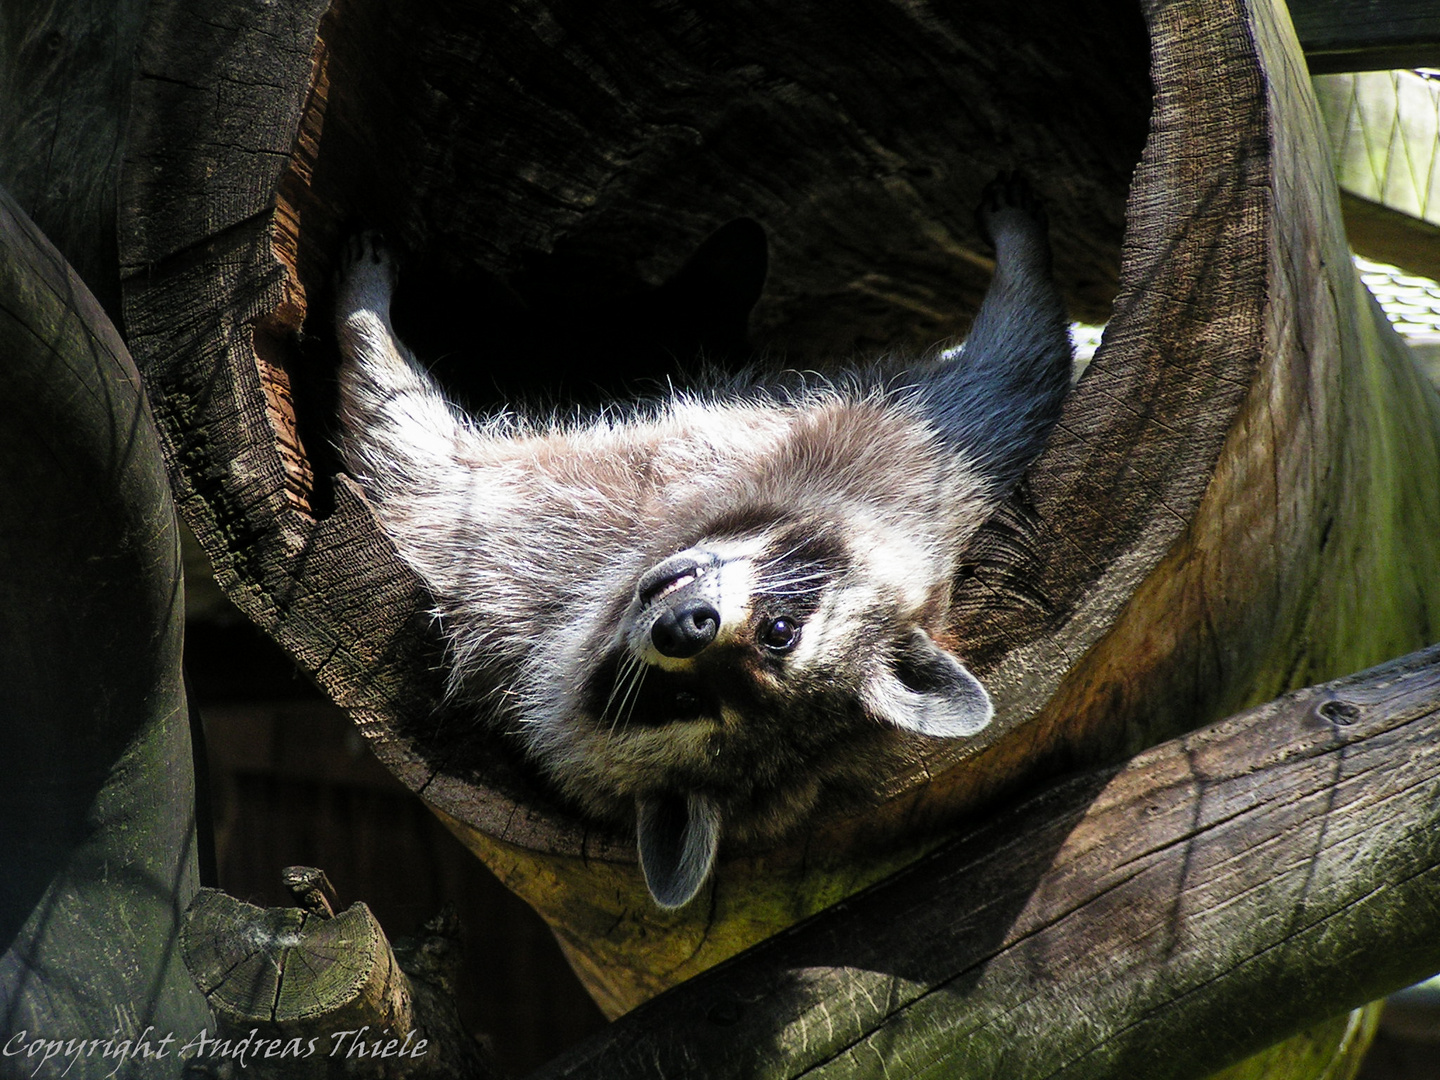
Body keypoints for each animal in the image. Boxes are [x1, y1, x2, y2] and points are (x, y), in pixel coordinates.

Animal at [329, 173, 1071, 910]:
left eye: (689, 702)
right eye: (781, 632)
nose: (686, 628)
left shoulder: (528, 549)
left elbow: (422, 463)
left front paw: (364, 318)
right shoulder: (908, 463)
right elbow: (1011, 383)